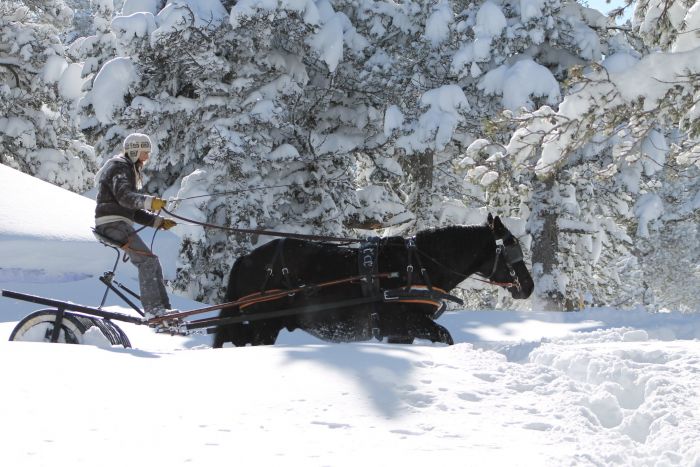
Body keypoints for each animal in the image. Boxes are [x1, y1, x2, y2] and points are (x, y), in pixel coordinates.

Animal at [212, 216, 532, 348]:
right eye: (511, 247)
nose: (528, 286)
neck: (418, 265)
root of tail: (245, 259)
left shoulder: (401, 331)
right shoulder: (410, 321)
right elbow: (446, 337)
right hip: (264, 325)